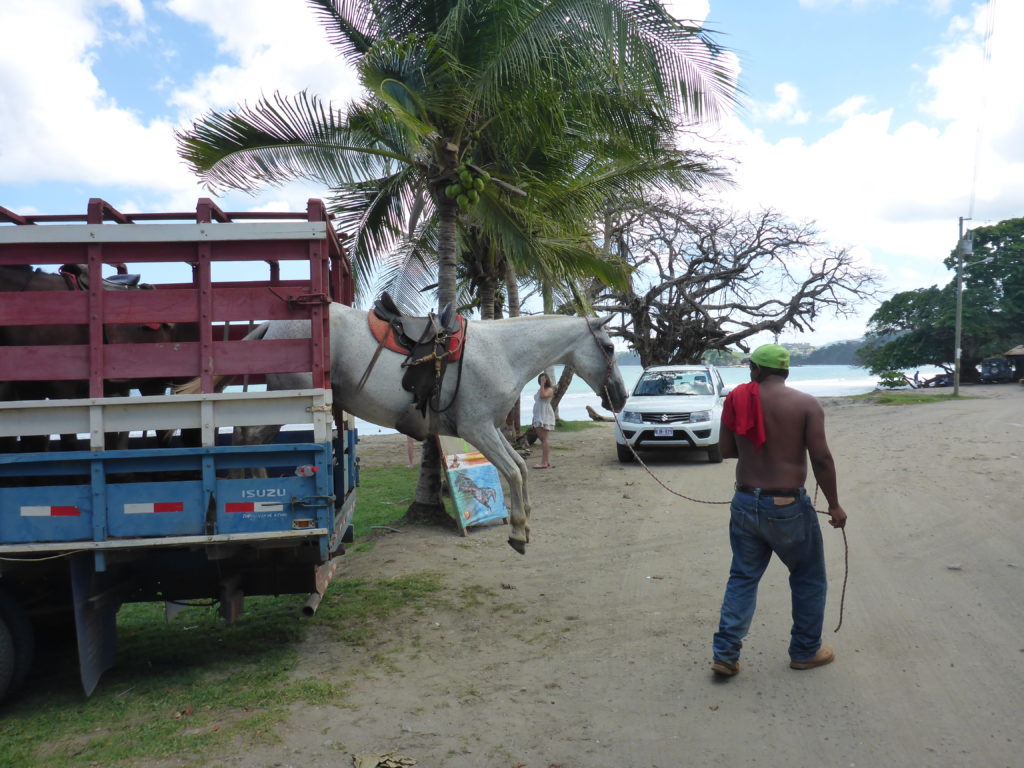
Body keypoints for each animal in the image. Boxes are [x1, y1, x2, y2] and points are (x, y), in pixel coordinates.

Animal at [209, 303, 622, 557]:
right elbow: (514, 471)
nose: (618, 397)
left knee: (245, 439)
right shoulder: (477, 428)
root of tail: (271, 325)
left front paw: (525, 525)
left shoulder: (489, 428)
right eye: (609, 346)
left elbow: (519, 468)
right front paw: (518, 532)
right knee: (250, 441)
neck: (501, 352)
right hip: (288, 401)